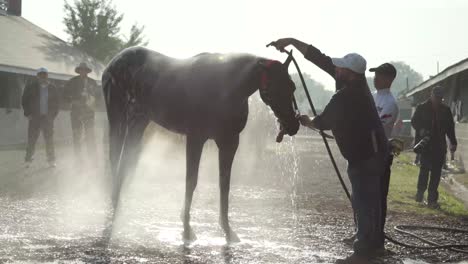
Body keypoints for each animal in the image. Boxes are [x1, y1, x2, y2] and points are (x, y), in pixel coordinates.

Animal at [102, 46, 300, 242]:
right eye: (273, 88)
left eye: (292, 86)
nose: (293, 125)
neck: (226, 87)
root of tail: (113, 63)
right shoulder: (195, 138)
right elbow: (191, 181)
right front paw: (186, 229)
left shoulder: (229, 142)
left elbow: (224, 184)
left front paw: (227, 230)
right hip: (120, 117)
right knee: (116, 156)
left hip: (139, 121)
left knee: (125, 160)